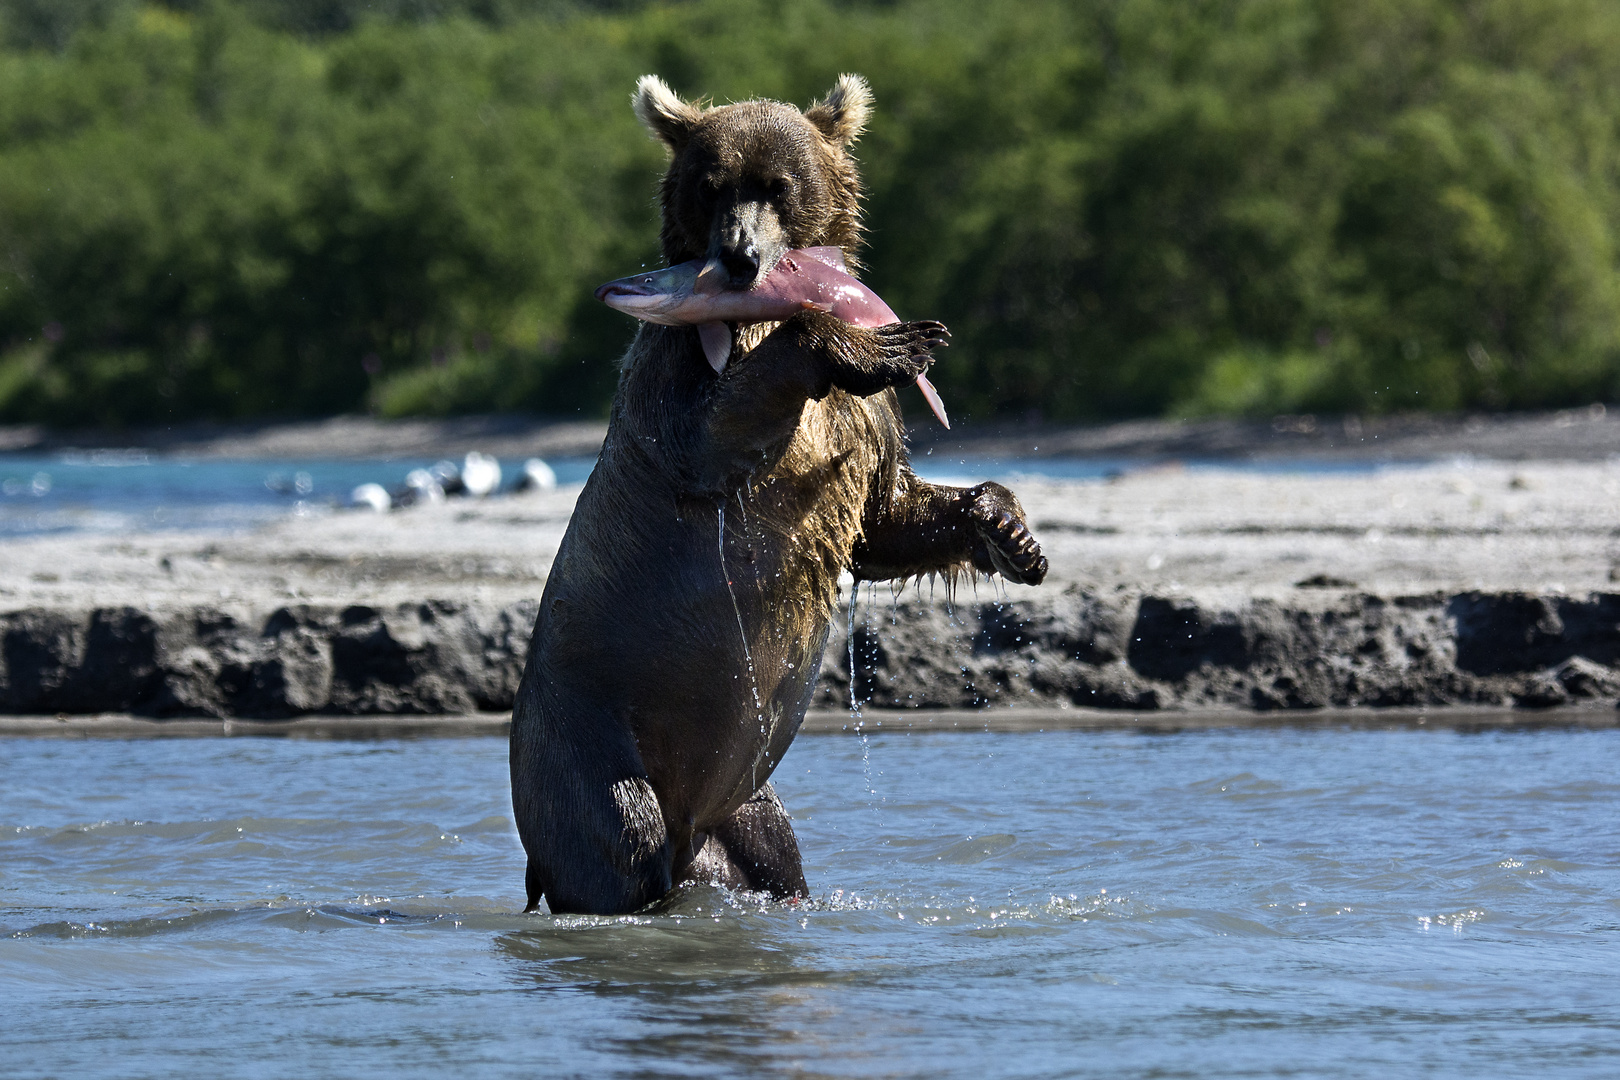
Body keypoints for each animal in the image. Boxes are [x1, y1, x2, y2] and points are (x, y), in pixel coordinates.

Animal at [511, 74, 1056, 913]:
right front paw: (879, 344)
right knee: (618, 841)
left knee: (775, 852)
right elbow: (711, 435)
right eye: (712, 186)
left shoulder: (868, 427)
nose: (739, 258)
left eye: (778, 184)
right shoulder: (671, 374)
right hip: (583, 741)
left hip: (737, 808)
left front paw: (1012, 532)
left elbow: (885, 521)